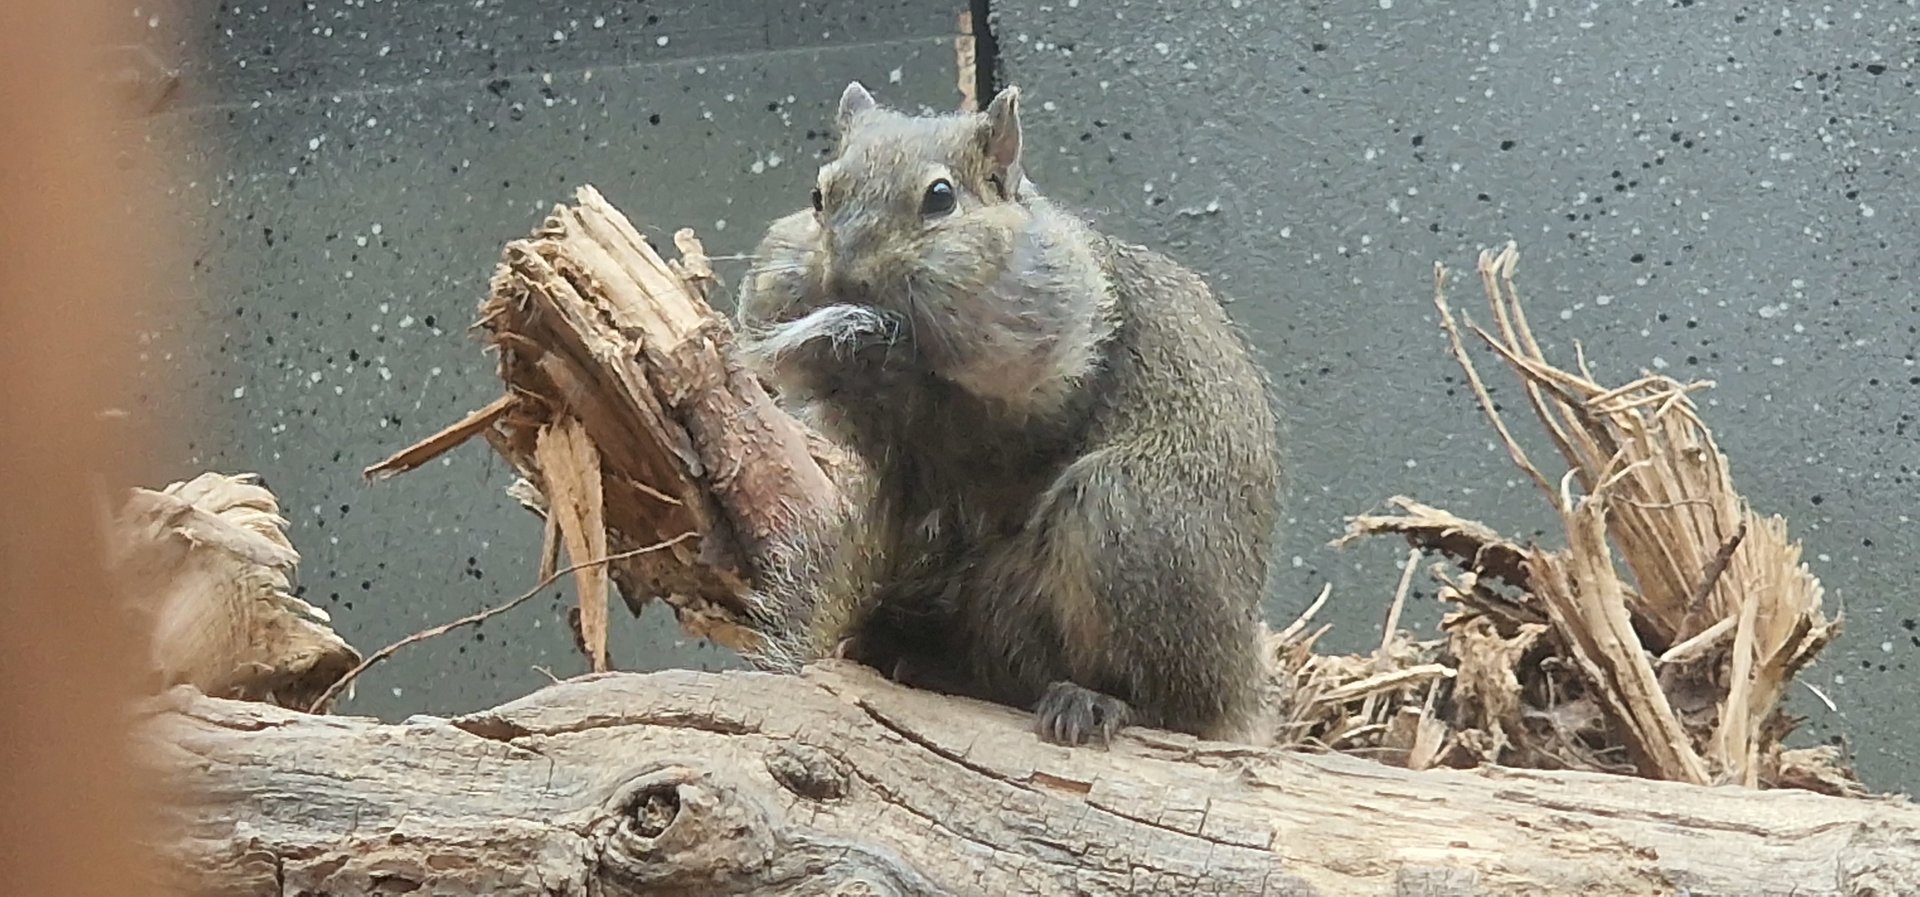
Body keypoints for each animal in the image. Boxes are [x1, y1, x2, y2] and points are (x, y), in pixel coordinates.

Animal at [732, 81, 1281, 747]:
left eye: (940, 198)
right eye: (818, 197)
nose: (844, 276)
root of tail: (1240, 694)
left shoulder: (1056, 381)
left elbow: (1002, 433)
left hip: (1128, 518)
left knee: (1174, 706)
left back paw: (1094, 701)